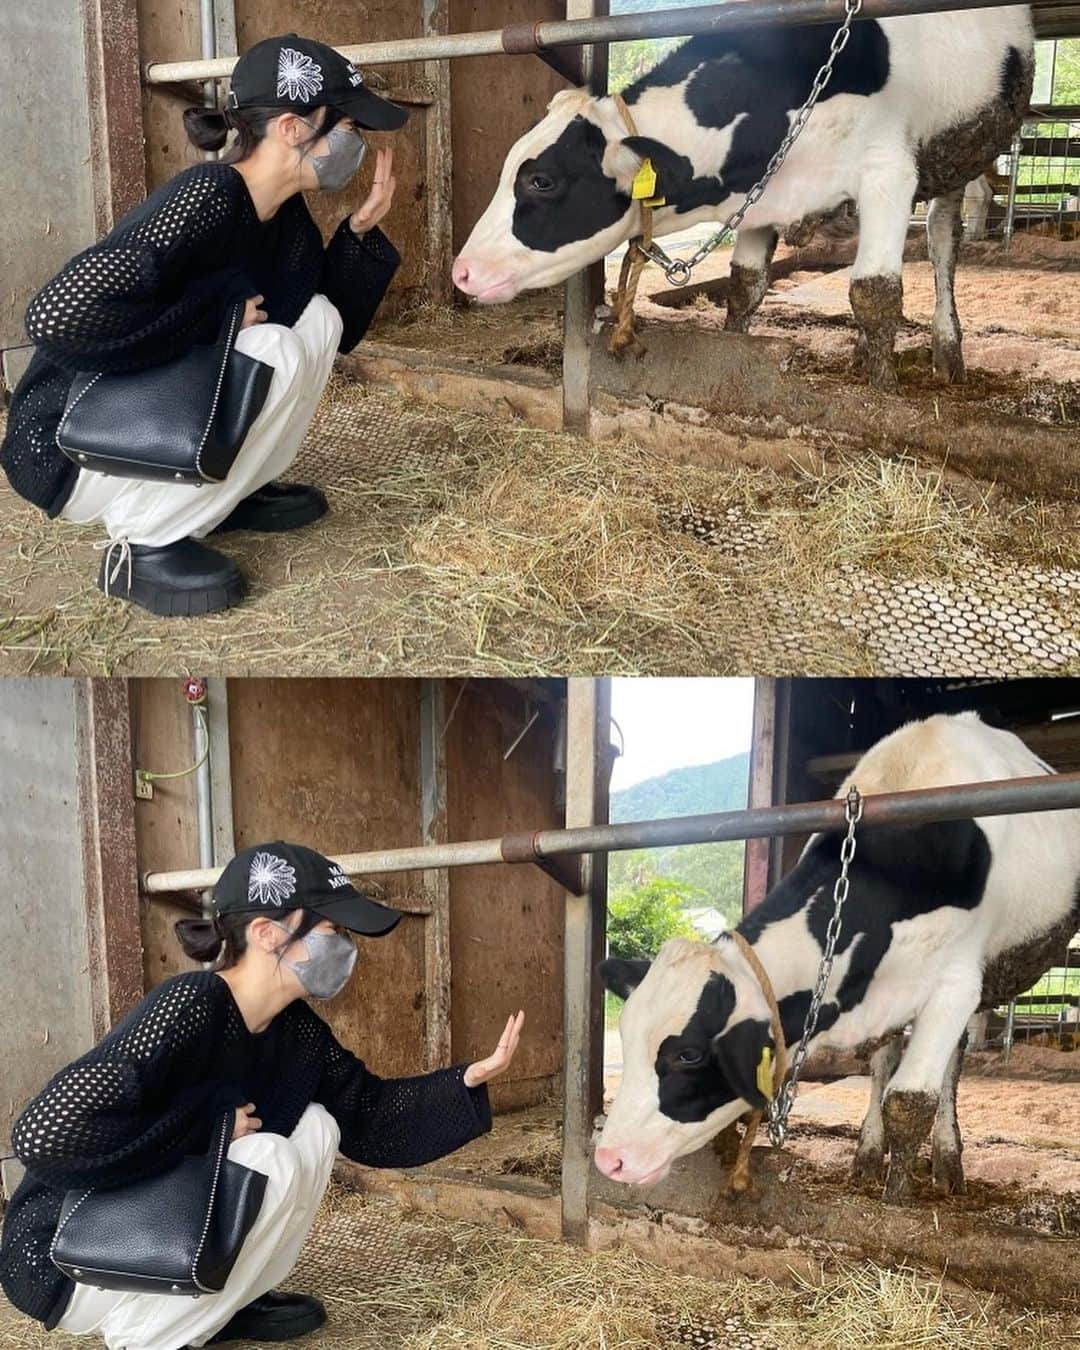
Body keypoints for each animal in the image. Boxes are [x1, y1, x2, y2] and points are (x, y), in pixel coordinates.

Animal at [450, 11, 1031, 391]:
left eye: (541, 181)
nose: (461, 272)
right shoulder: (764, 192)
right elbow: (744, 287)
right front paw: (736, 347)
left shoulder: (888, 171)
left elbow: (874, 292)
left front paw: (881, 388)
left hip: (955, 153)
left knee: (942, 239)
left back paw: (946, 352)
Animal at [599, 712, 1080, 1198]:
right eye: (628, 1035)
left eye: (689, 1055)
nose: (608, 1158)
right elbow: (884, 1074)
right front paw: (873, 1158)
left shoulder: (956, 984)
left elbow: (909, 1100)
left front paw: (897, 1195)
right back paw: (875, 1153)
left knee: (951, 1063)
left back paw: (947, 1159)